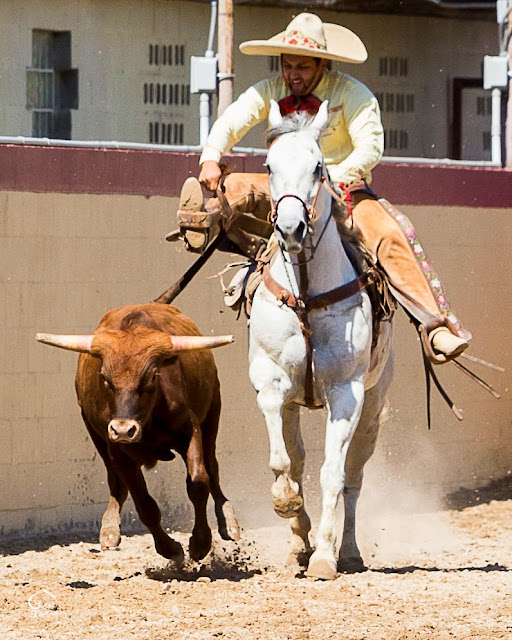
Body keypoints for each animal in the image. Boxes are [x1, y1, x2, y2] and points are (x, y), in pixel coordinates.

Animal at [36, 302, 240, 564]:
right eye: (105, 379)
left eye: (152, 377)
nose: (124, 429)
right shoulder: (118, 449)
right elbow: (145, 505)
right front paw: (169, 548)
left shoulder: (191, 428)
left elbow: (198, 482)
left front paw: (200, 543)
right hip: (96, 434)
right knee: (116, 483)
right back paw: (110, 529)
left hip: (213, 410)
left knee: (212, 466)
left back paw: (228, 520)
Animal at [247, 100, 392, 580]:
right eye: (268, 166)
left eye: (317, 167)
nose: (291, 228)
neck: (308, 297)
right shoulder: (271, 382)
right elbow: (283, 462)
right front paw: (288, 505)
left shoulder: (348, 393)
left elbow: (334, 474)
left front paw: (325, 557)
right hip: (295, 407)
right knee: (298, 456)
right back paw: (297, 545)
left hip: (374, 407)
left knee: (354, 479)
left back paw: (347, 551)